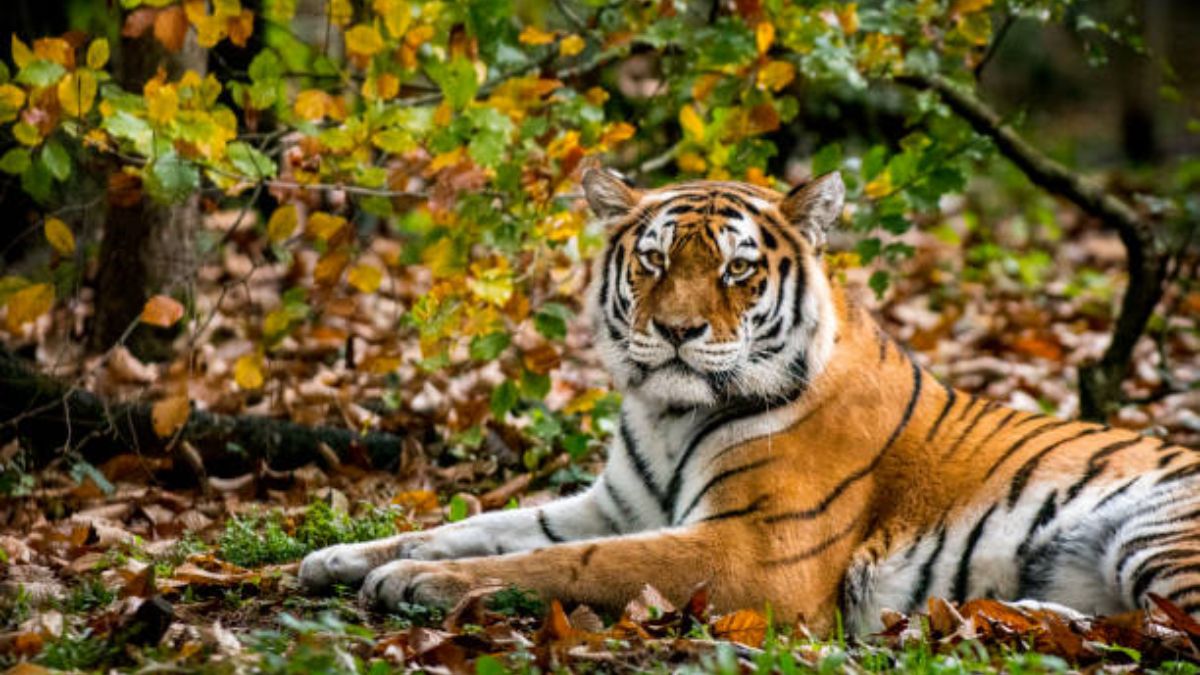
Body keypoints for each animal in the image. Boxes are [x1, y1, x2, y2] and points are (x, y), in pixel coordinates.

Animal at [299, 168, 1200, 634]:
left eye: (737, 269)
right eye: (654, 260)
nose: (675, 330)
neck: (668, 414)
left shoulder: (751, 550)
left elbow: (570, 563)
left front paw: (416, 579)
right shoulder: (613, 506)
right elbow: (482, 525)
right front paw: (338, 557)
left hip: (1156, 534)